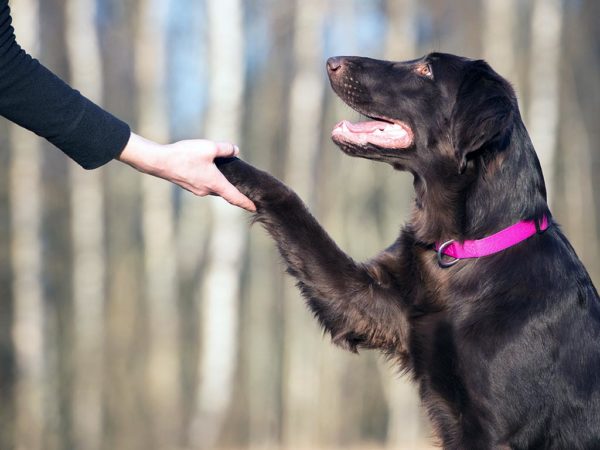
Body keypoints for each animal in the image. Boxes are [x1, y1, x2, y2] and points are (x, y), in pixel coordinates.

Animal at [218, 54, 600, 448]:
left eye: (426, 70)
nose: (332, 61)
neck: (463, 249)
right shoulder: (367, 302)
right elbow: (290, 204)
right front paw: (221, 161)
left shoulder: (496, 430)